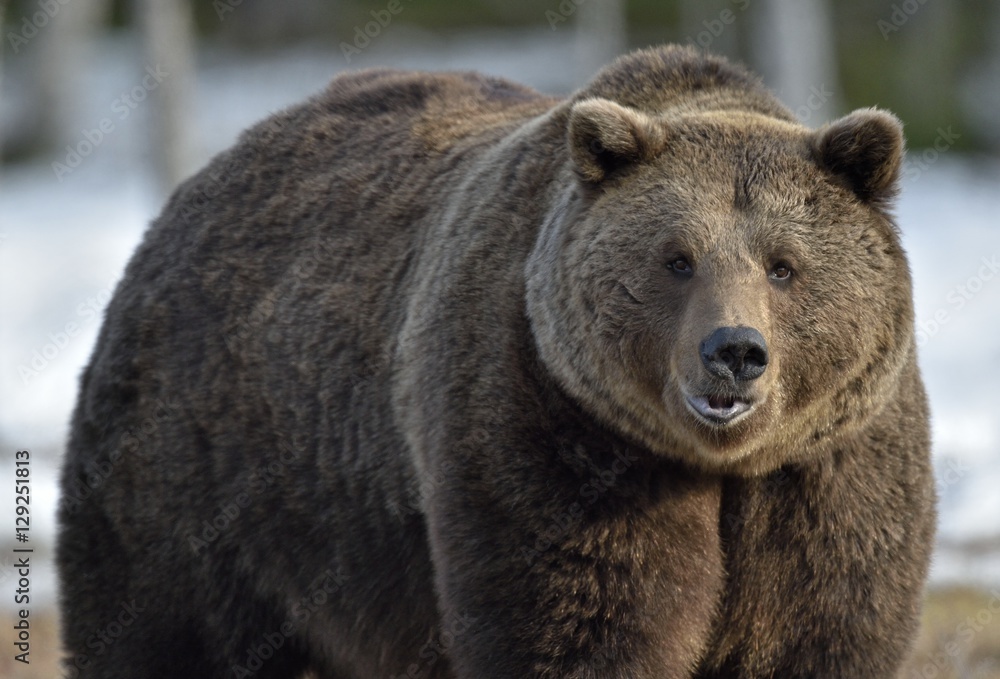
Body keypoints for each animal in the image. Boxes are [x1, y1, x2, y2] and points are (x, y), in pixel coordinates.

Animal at [57, 44, 935, 679]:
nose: (735, 352)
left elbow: (821, 627)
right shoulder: (547, 423)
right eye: (677, 259)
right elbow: (573, 621)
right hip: (202, 473)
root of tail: (194, 187)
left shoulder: (830, 471)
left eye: (784, 265)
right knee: (157, 627)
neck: (715, 464)